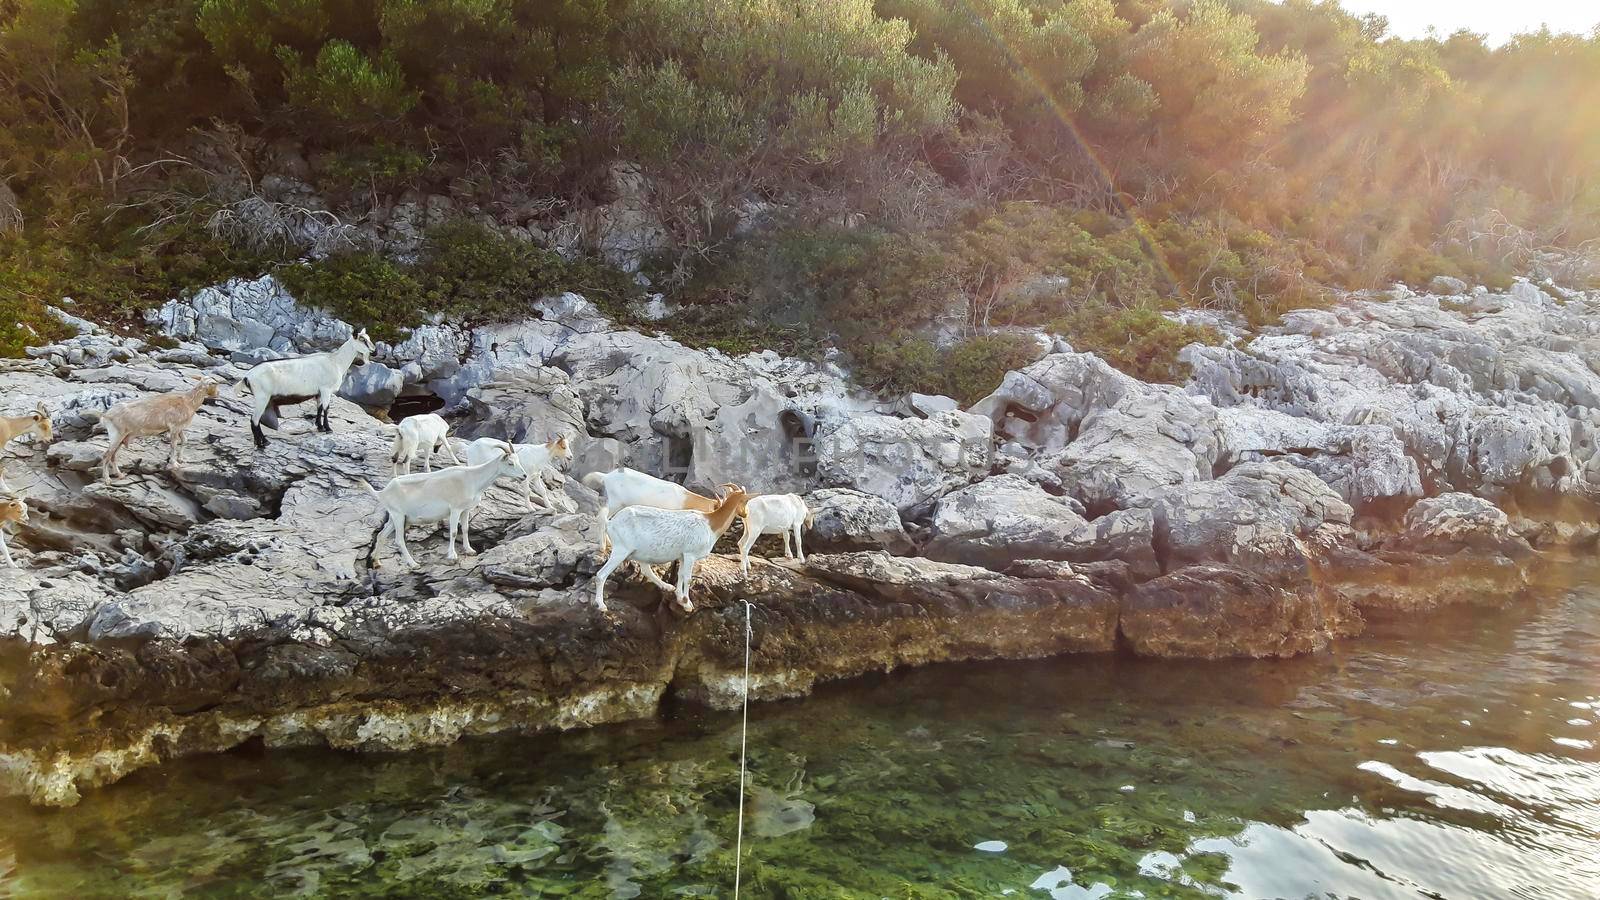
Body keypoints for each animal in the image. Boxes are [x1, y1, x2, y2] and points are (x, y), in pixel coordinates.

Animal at [235, 328, 372, 445]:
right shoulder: (326, 389)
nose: (374, 351)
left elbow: (319, 408)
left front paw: (320, 427)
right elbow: (326, 408)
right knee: (254, 420)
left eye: (368, 338)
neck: (336, 362)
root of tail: (247, 376)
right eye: (362, 339)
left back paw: (262, 441)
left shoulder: (319, 392)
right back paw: (262, 443)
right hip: (262, 396)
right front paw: (328, 429)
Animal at [363, 438, 524, 563]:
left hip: (396, 516)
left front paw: (469, 550)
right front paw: (452, 555)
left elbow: (465, 529)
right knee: (398, 540)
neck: (472, 478)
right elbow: (453, 532)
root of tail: (382, 492)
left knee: (382, 535)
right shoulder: (455, 509)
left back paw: (376, 562)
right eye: (510, 463)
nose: (524, 476)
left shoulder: (466, 509)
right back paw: (413, 564)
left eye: (518, 461)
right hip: (398, 515)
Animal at [595, 483, 748, 608]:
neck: (710, 524)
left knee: (645, 569)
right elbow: (687, 577)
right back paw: (601, 605)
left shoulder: (682, 556)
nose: (745, 514)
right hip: (621, 550)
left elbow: (680, 575)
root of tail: (611, 523)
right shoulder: (690, 555)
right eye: (746, 500)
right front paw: (687, 603)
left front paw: (680, 599)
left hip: (639, 552)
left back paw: (667, 587)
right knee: (601, 575)